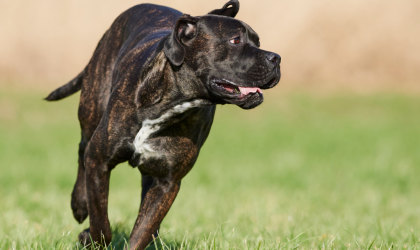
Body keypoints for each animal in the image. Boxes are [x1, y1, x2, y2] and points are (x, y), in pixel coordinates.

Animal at [46, 0, 280, 249]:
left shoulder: (166, 183)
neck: (172, 101)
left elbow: (142, 231)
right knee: (82, 148)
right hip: (91, 111)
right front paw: (89, 236)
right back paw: (79, 204)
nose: (276, 58)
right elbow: (101, 223)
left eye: (258, 42)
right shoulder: (99, 161)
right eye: (235, 40)